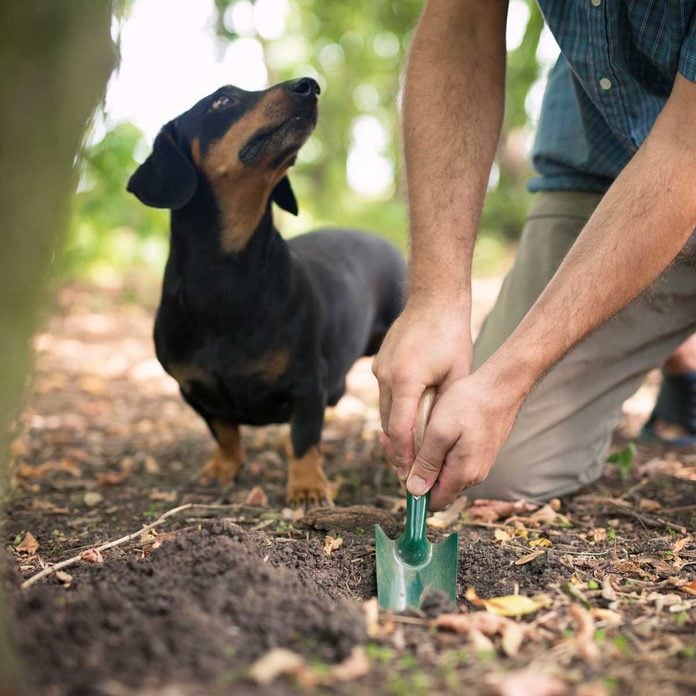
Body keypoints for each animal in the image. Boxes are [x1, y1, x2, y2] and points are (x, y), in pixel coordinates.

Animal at [128, 79, 406, 506]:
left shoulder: (308, 384)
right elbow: (225, 433)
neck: (227, 278)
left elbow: (304, 438)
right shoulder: (191, 390)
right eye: (222, 100)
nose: (309, 85)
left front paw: (307, 486)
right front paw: (223, 468)